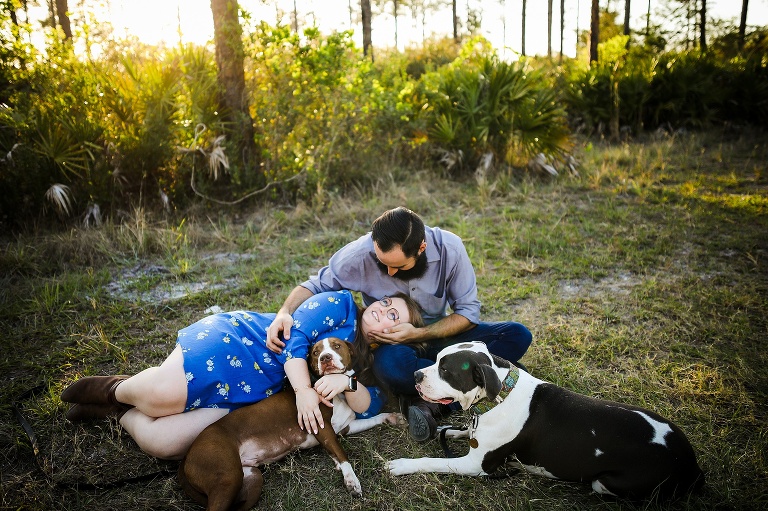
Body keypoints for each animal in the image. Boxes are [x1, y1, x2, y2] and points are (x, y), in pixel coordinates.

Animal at [178, 338, 400, 510]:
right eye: (315, 352)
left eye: (336, 346)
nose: (325, 358)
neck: (336, 393)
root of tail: (188, 454)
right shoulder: (323, 428)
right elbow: (342, 454)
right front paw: (351, 479)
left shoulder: (344, 428)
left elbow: (370, 421)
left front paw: (392, 417)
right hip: (227, 475)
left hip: (252, 478)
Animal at [388, 342, 704, 502]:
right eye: (436, 360)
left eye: (445, 370)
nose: (416, 375)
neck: (500, 394)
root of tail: (690, 461)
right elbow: (464, 431)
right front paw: (449, 430)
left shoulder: (475, 465)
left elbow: (432, 461)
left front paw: (402, 465)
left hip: (605, 482)